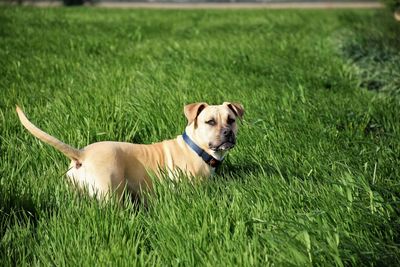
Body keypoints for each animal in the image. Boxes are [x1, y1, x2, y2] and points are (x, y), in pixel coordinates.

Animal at [16, 102, 244, 201]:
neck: (197, 149)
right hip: (109, 193)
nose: (227, 133)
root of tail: (82, 154)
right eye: (210, 122)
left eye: (231, 120)